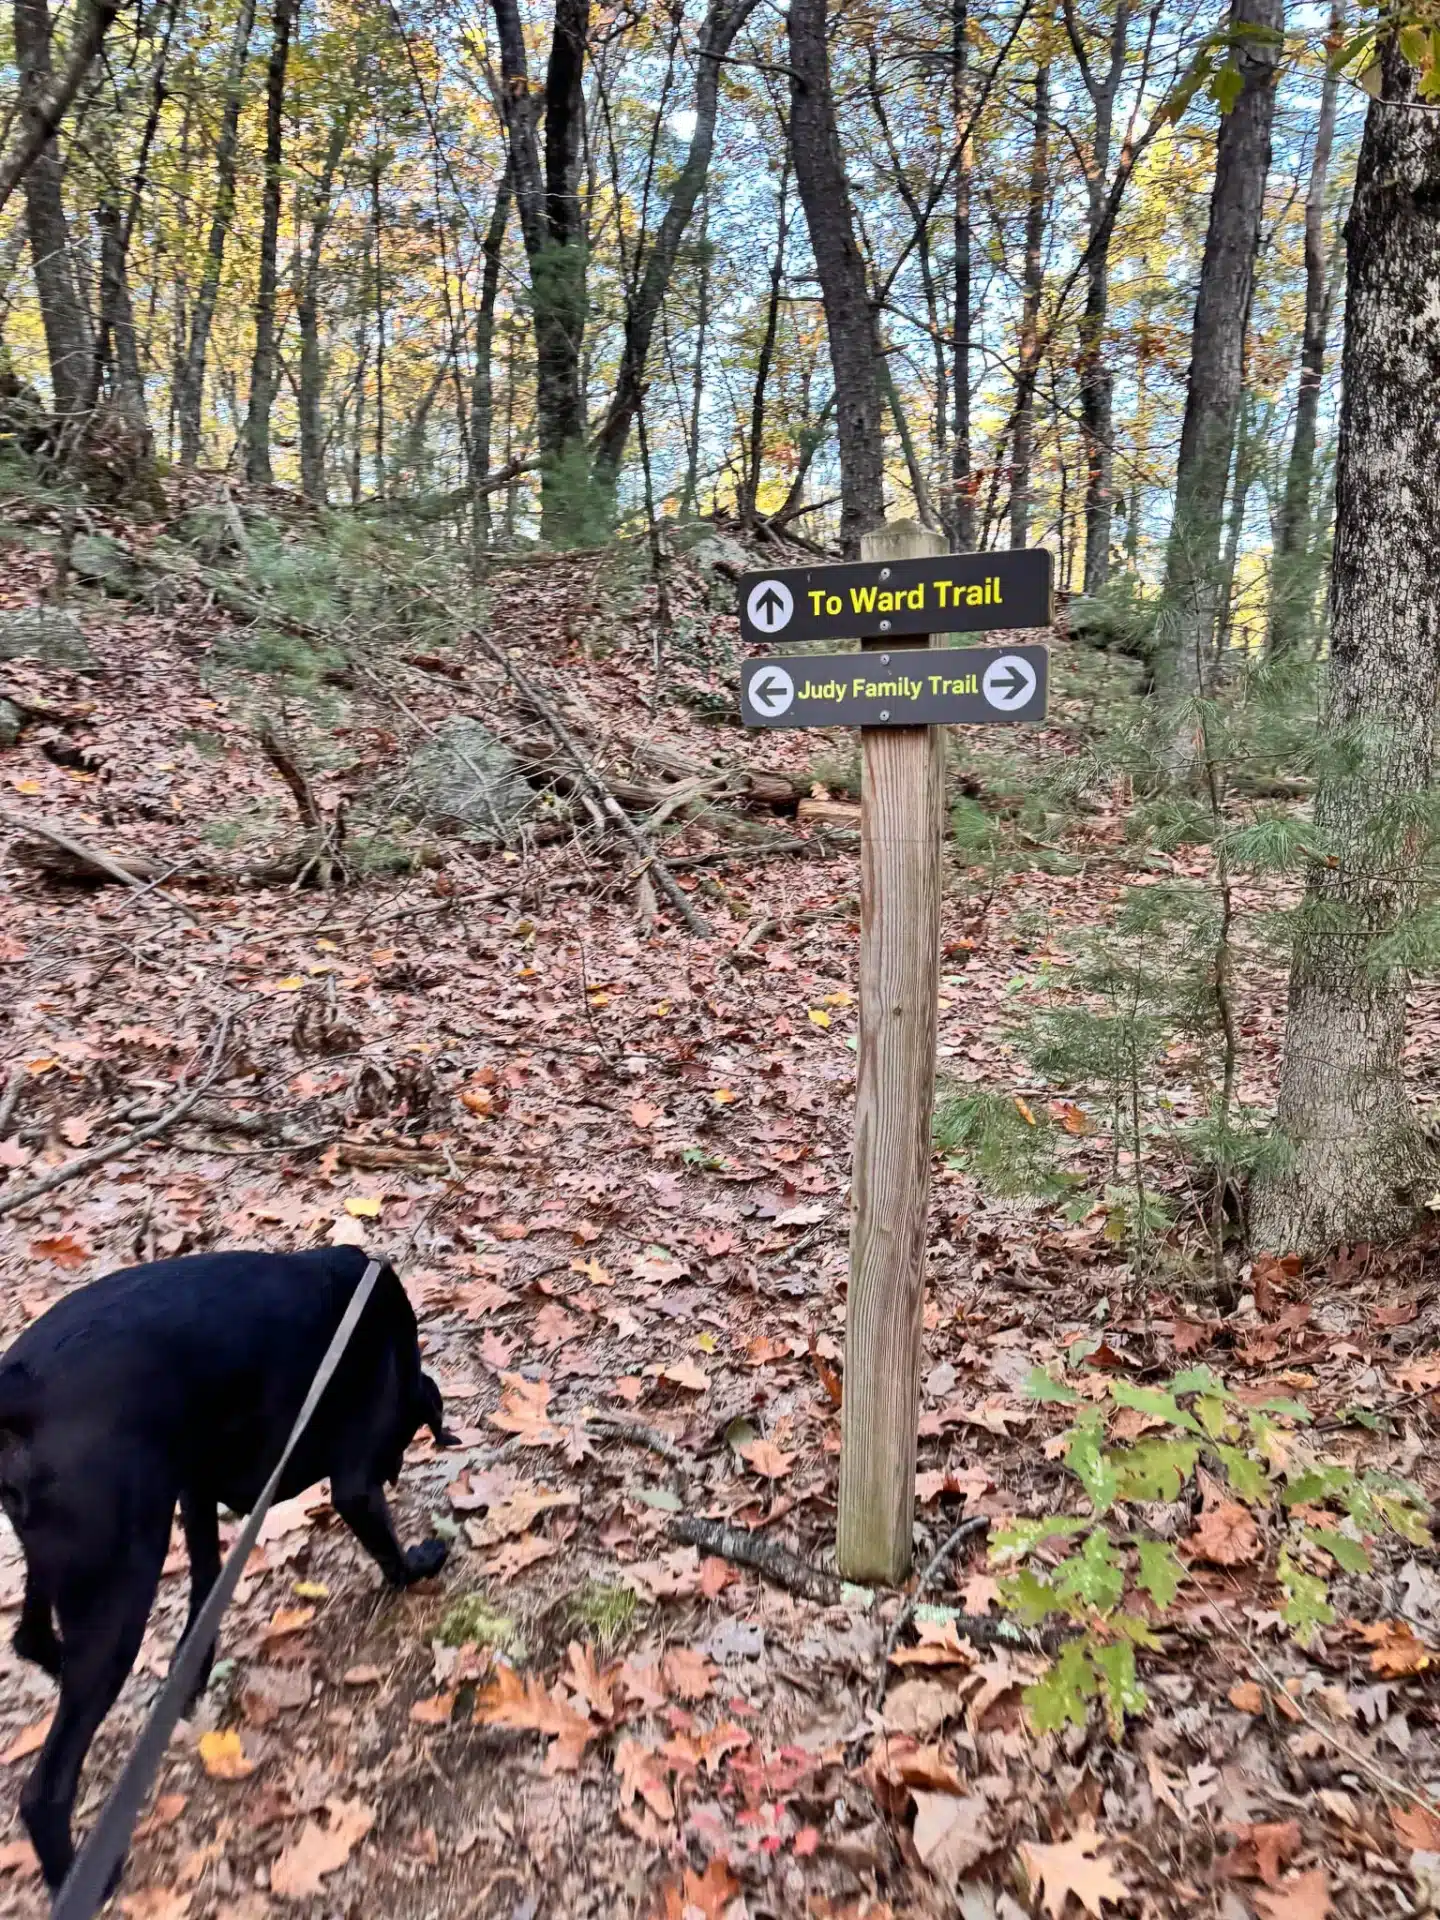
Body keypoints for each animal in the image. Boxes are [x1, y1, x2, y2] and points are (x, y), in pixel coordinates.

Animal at [0, 1244, 456, 1889]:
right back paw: (85, 1877)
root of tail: (20, 1389)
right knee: (45, 1789)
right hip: (121, 1583)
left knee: (31, 1636)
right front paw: (422, 1560)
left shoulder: (196, 1488)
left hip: (67, 1555)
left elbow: (203, 1586)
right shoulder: (354, 1479)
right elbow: (388, 1547)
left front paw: (191, 1672)